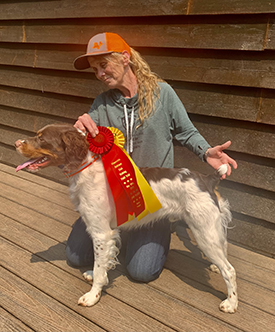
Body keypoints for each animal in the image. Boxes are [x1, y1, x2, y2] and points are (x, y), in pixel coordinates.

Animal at [15, 124, 238, 314]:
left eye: (41, 138)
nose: (16, 142)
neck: (86, 169)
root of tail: (207, 179)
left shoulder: (102, 233)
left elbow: (99, 265)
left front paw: (92, 296)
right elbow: (102, 263)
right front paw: (94, 275)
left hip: (203, 231)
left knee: (230, 270)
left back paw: (231, 303)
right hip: (210, 230)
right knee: (224, 249)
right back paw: (214, 267)